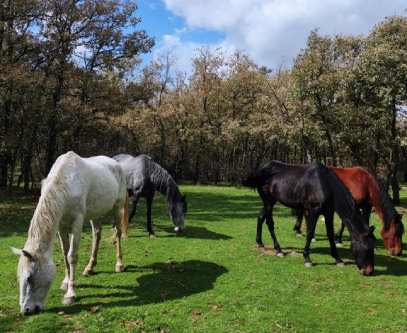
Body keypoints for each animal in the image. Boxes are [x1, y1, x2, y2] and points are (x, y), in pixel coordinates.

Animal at [10, 151, 129, 314]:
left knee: (117, 233)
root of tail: (117, 164)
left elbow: (72, 256)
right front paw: (65, 283)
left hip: (118, 208)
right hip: (94, 213)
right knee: (97, 233)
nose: (27, 310)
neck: (66, 184)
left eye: (29, 277)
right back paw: (90, 268)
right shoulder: (61, 226)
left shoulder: (77, 223)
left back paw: (119, 264)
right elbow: (65, 254)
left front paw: (70, 294)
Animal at [244, 160, 378, 274]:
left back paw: (260, 244)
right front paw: (307, 259)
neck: (325, 185)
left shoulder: (328, 212)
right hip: (267, 201)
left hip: (271, 201)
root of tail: (262, 169)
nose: (369, 272)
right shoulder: (314, 210)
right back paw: (278, 250)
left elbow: (330, 234)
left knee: (260, 217)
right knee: (270, 223)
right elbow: (310, 232)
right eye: (367, 248)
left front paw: (338, 259)